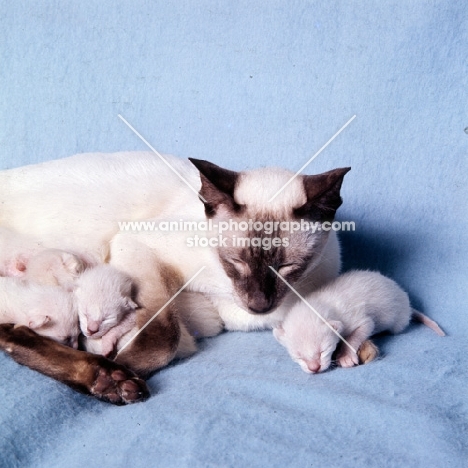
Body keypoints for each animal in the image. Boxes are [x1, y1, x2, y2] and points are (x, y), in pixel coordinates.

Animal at [0, 152, 376, 404]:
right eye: (235, 262)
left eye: (285, 268)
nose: (259, 305)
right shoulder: (139, 246)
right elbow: (164, 335)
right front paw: (122, 359)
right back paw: (113, 380)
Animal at [274, 270, 446, 372]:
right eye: (298, 356)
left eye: (323, 350)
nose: (314, 368)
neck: (319, 302)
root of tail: (408, 306)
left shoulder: (358, 319)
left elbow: (359, 331)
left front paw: (345, 355)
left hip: (399, 321)